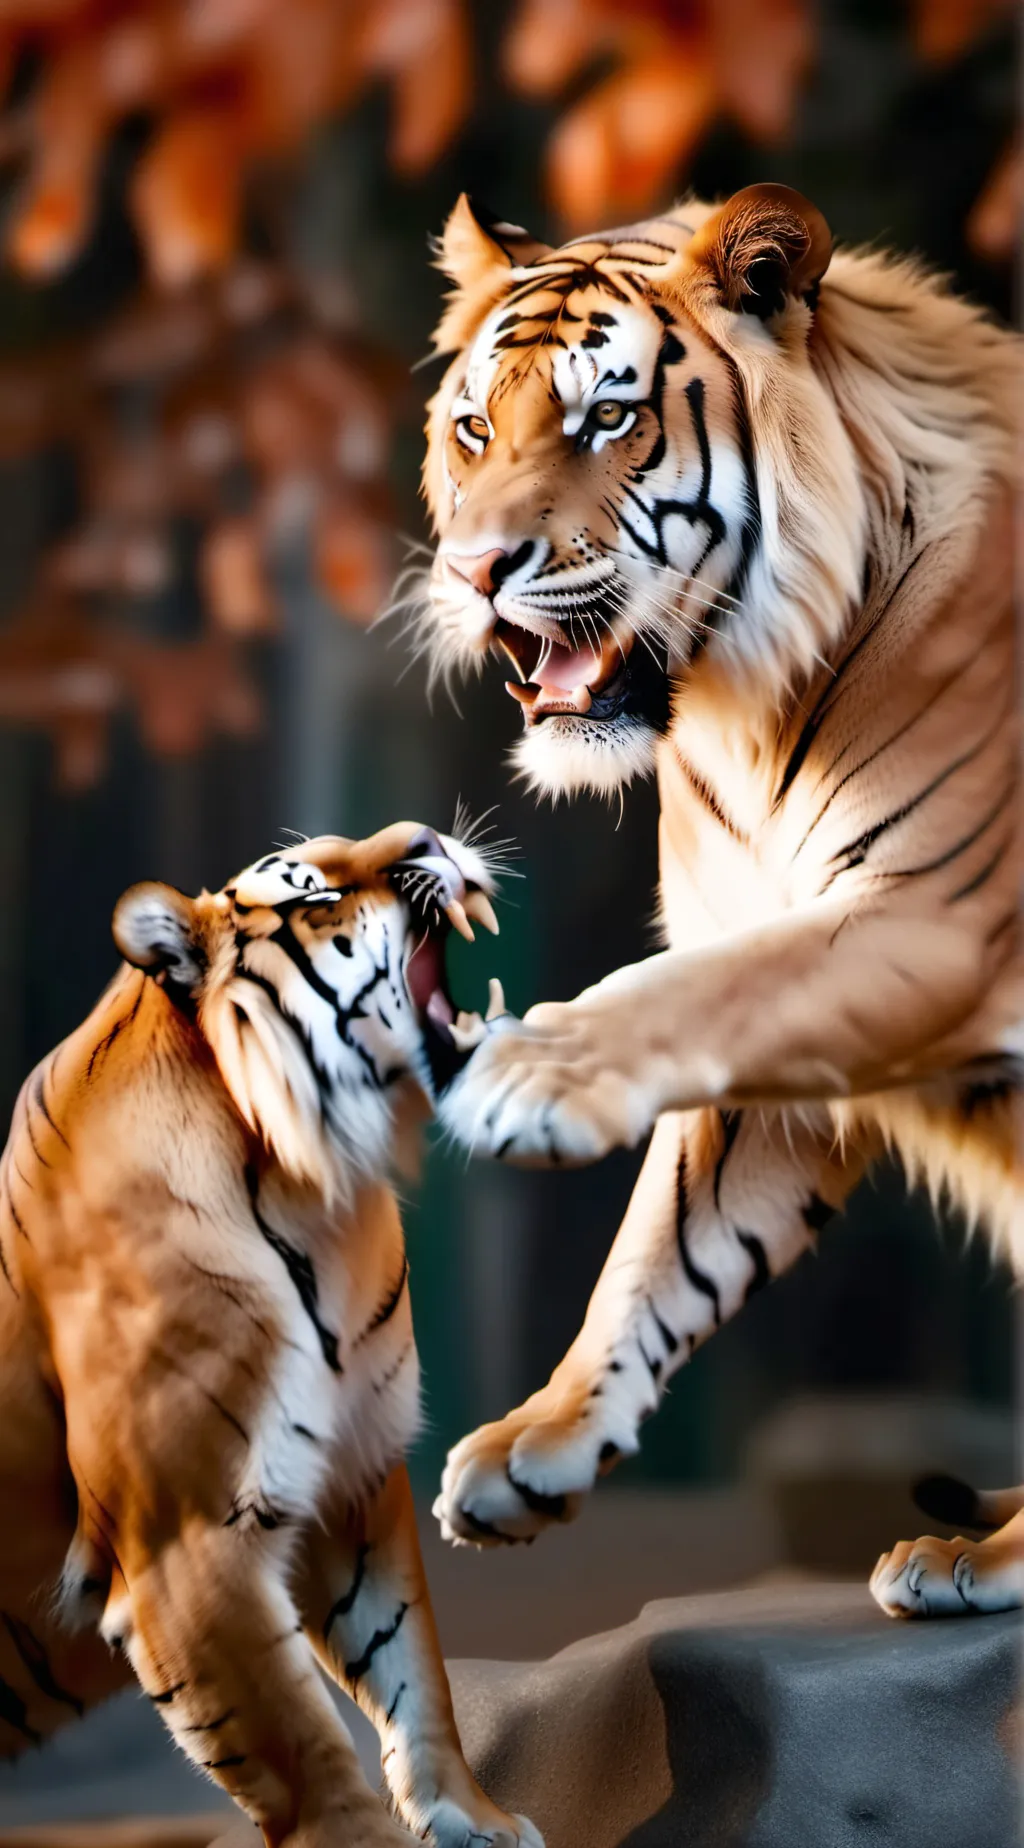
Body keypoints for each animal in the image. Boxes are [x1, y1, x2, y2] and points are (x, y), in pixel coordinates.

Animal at [0, 821, 542, 1848]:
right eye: (315, 890)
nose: (429, 836)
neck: (312, 1189)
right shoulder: (185, 1542)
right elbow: (299, 1738)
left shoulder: (346, 1480)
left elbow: (412, 1668)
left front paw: (476, 1819)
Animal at [415, 184, 1023, 1619]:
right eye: (473, 428)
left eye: (606, 420)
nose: (473, 571)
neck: (750, 707)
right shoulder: (781, 990)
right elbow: (669, 1239)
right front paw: (539, 1443)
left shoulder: (928, 921)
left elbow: (663, 1000)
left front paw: (525, 1073)